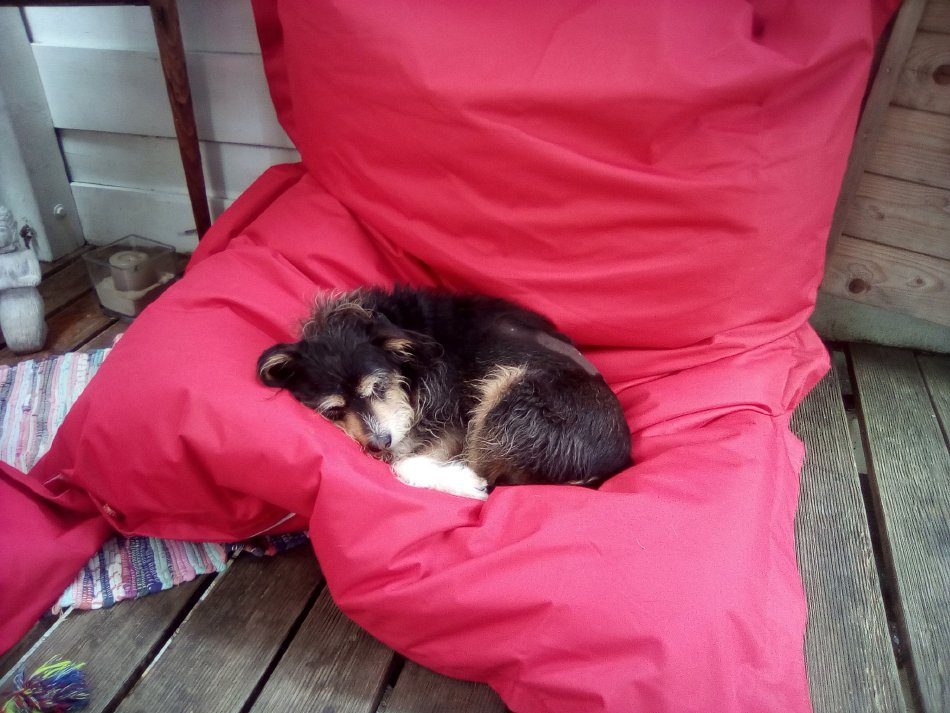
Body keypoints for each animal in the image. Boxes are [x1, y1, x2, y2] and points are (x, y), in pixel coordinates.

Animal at [258, 286, 631, 499]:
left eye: (378, 386)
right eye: (333, 411)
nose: (379, 444)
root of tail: (616, 463)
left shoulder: (452, 422)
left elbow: (403, 461)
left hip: (510, 394)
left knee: (484, 474)